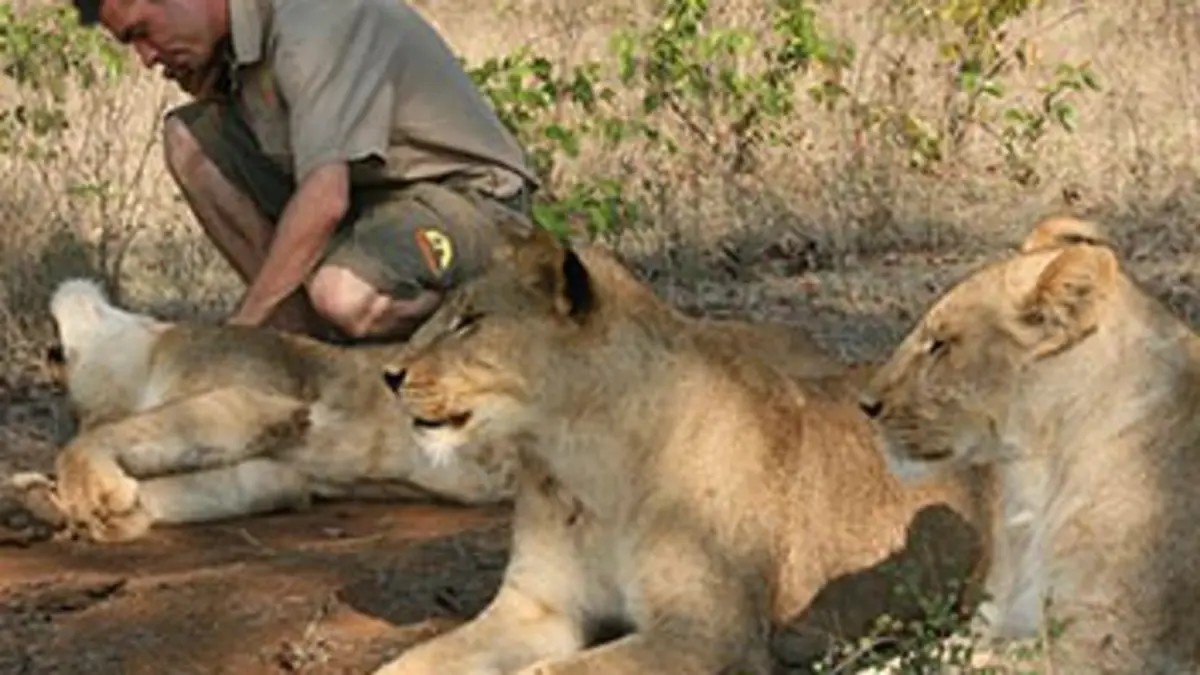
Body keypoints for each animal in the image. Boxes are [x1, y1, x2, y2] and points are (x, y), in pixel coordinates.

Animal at [7, 278, 523, 543]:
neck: (150, 355)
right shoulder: (277, 476)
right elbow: (175, 490)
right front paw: (47, 504)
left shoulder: (254, 399)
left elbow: (93, 441)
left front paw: (87, 491)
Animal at [367, 221, 996, 675]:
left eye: (469, 321)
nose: (388, 374)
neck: (577, 461)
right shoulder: (537, 607)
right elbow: (412, 662)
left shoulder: (707, 631)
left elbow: (551, 673)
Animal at [856, 218, 1200, 673]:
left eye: (941, 344)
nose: (865, 404)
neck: (1034, 476)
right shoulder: (992, 622)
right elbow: (908, 659)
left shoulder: (1108, 645)